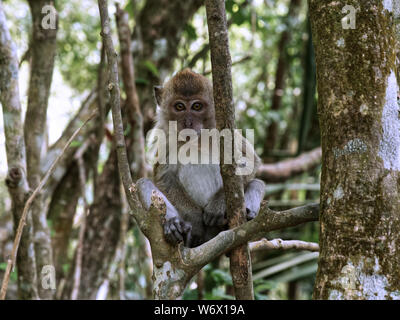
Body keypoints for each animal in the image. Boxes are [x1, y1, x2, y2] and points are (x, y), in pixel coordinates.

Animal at [138, 69, 266, 248]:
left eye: (197, 106)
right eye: (179, 106)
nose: (188, 123)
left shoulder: (225, 131)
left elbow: (251, 161)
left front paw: (218, 203)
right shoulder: (166, 138)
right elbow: (164, 177)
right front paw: (195, 217)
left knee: (257, 183)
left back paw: (246, 217)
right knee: (142, 183)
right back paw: (175, 227)